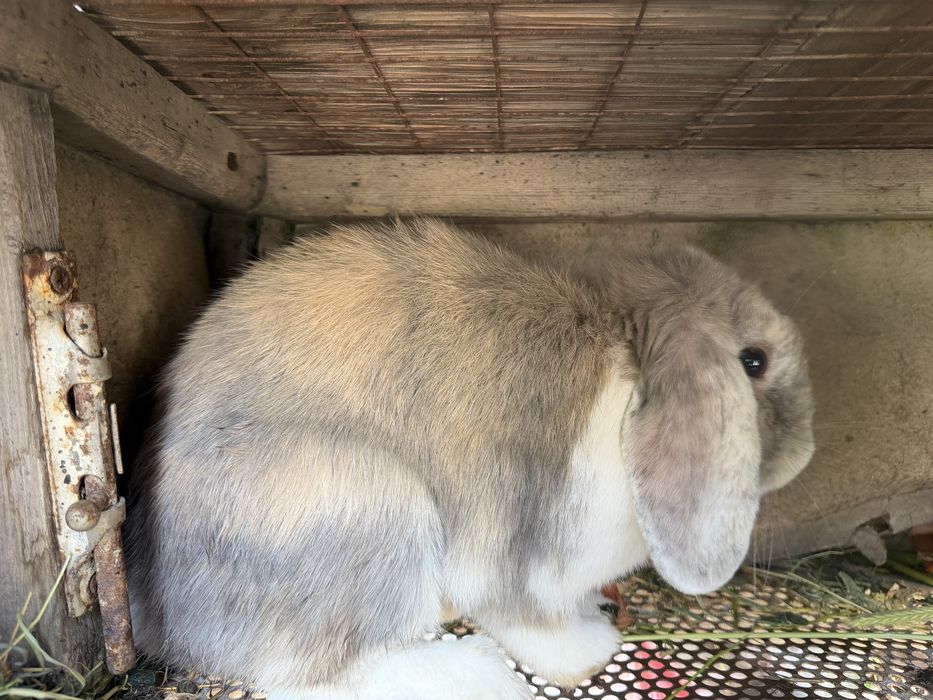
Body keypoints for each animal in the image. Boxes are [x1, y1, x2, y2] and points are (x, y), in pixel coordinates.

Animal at [124, 218, 814, 700]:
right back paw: (482, 676)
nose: (805, 456)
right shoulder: (522, 555)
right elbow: (538, 627)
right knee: (312, 674)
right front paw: (593, 650)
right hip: (372, 505)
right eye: (753, 361)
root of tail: (155, 611)